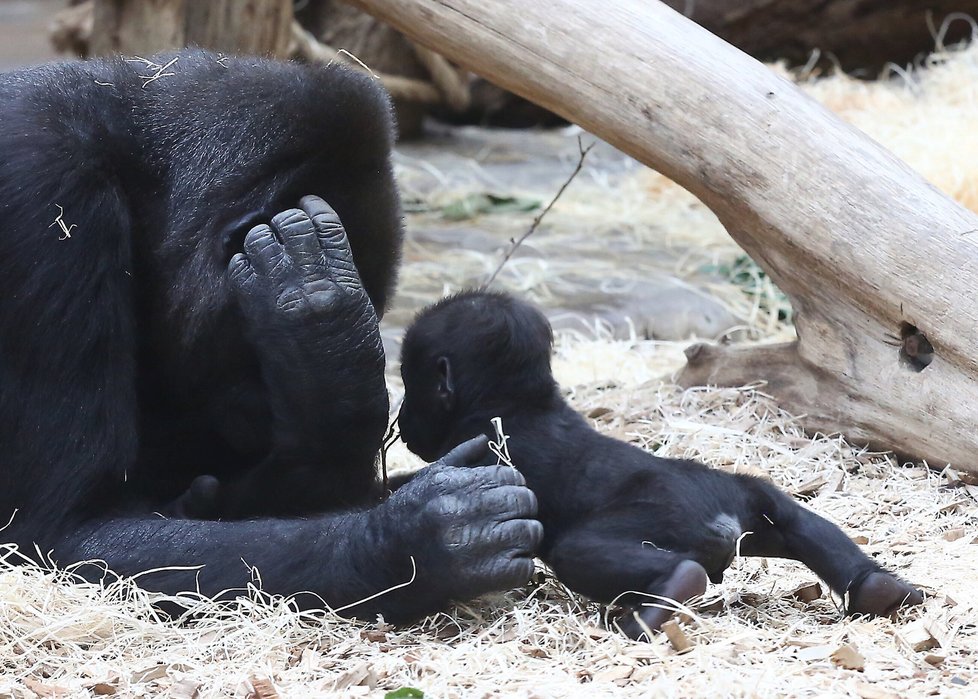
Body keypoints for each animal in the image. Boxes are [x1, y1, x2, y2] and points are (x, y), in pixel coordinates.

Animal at [396, 290, 924, 640]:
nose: (402, 419)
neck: (519, 399)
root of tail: (721, 517)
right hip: (742, 497)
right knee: (791, 516)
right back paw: (880, 589)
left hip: (662, 517)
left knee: (579, 549)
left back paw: (662, 600)